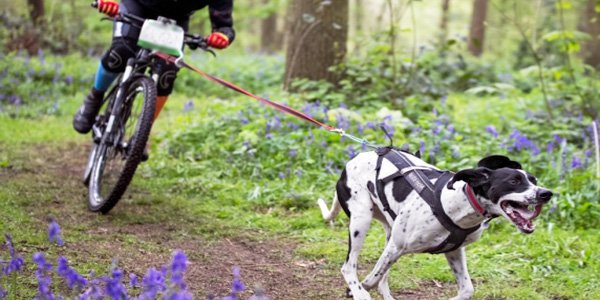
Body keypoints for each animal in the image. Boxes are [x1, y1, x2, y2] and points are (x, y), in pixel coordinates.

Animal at [318, 150, 552, 300]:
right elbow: (372, 277)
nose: (546, 193)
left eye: (534, 180)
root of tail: (351, 161)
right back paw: (359, 292)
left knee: (382, 273)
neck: (456, 203)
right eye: (514, 181)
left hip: (389, 231)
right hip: (361, 220)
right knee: (349, 267)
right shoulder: (397, 246)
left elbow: (467, 290)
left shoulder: (454, 250)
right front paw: (358, 290)